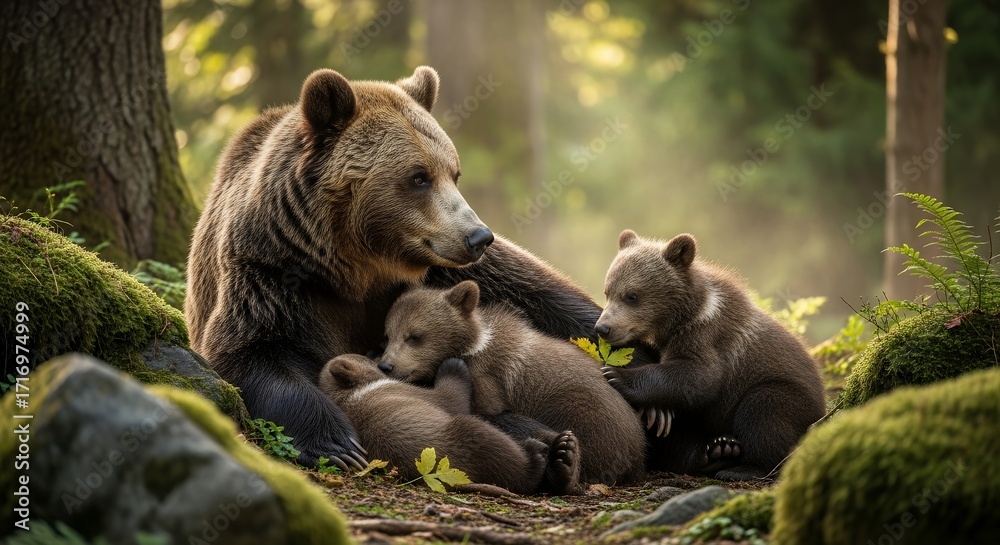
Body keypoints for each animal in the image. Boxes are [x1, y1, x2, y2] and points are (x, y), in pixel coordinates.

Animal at [185, 66, 608, 468]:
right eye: (419, 177)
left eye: (454, 173)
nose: (478, 236)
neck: (357, 266)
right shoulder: (271, 274)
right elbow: (252, 352)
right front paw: (338, 443)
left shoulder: (449, 272)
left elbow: (546, 298)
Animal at [318, 354, 581, 494]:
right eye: (370, 360)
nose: (383, 362)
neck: (352, 393)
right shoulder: (408, 394)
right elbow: (450, 397)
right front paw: (454, 363)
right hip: (456, 443)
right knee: (494, 447)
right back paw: (540, 457)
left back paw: (565, 453)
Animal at [377, 280, 647, 485]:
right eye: (388, 334)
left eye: (415, 336)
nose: (386, 365)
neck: (473, 345)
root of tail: (638, 450)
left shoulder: (488, 376)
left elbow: (487, 410)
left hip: (583, 413)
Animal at [595, 230, 827, 481]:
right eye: (607, 291)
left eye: (632, 295)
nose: (603, 327)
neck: (684, 315)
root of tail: (823, 409)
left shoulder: (706, 335)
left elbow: (699, 377)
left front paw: (617, 375)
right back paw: (720, 447)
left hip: (787, 395)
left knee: (765, 415)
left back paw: (742, 468)